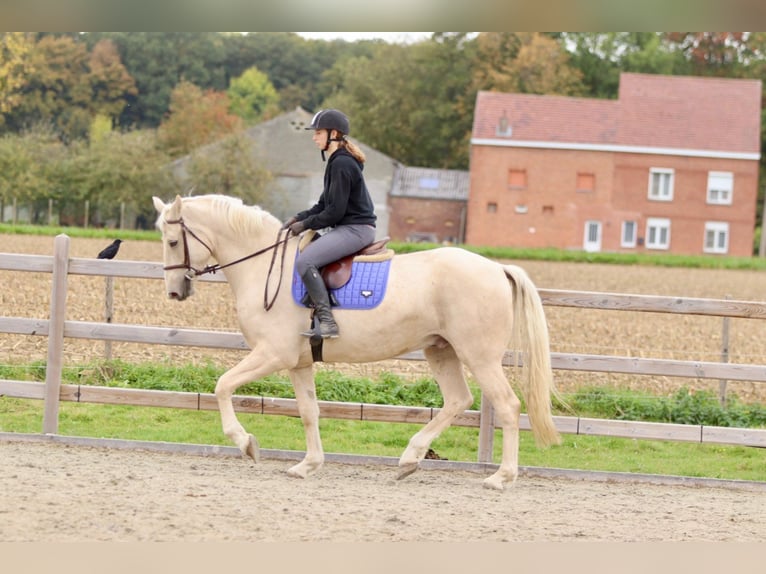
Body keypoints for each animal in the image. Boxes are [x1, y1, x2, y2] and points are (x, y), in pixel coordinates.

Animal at [152, 193, 561, 490]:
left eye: (172, 241)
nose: (174, 292)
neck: (263, 267)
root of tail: (496, 267)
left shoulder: (272, 354)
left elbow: (222, 386)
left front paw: (246, 443)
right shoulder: (298, 362)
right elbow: (309, 412)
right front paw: (308, 465)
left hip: (480, 356)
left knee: (507, 406)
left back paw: (501, 477)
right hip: (440, 349)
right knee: (458, 400)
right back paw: (409, 460)